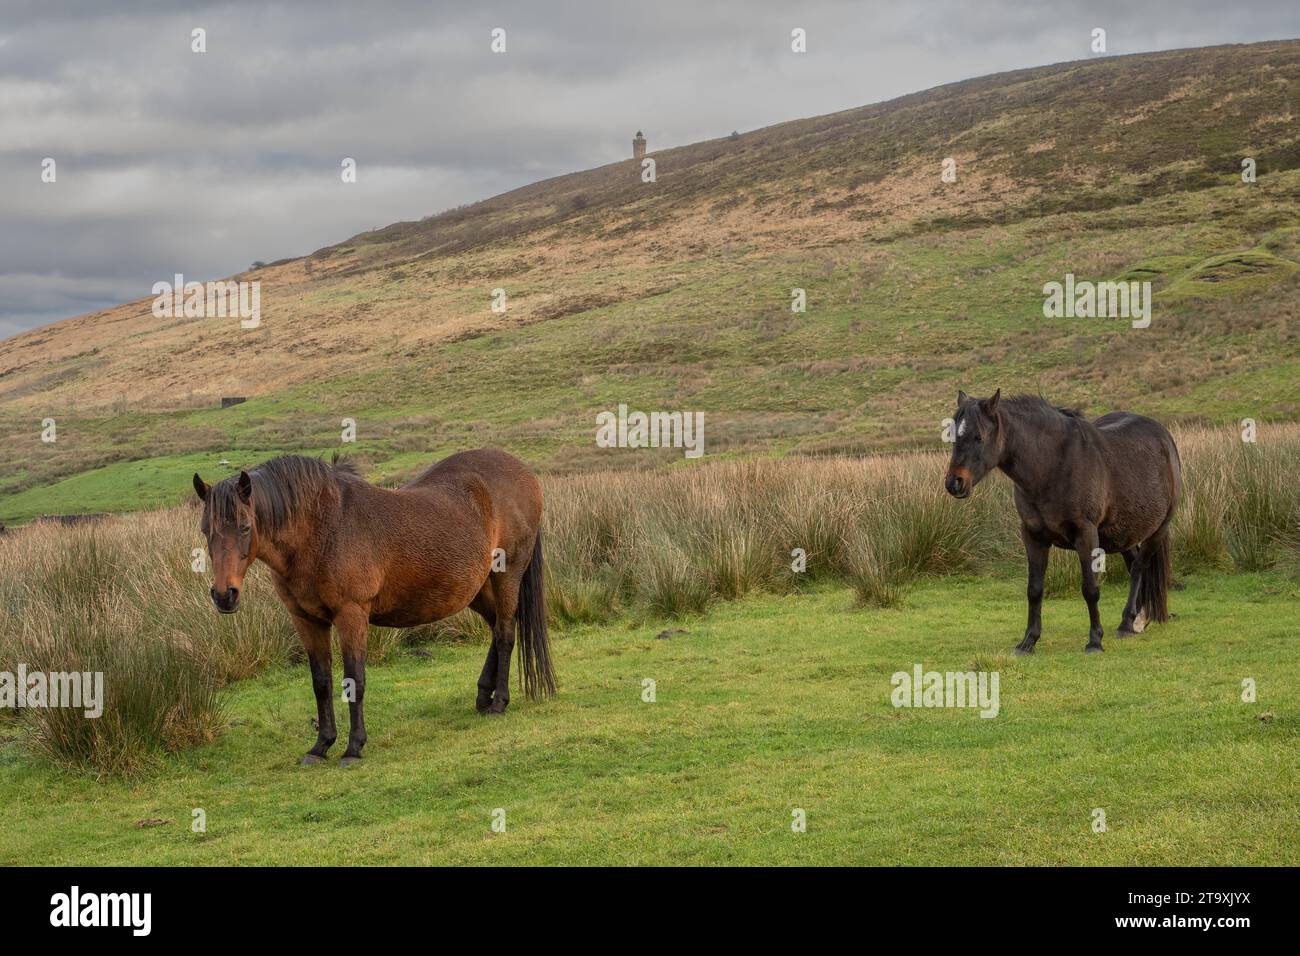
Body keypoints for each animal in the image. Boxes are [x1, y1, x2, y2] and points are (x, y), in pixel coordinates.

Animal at [192, 450, 553, 770]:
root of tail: (523, 471)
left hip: (506, 575)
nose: (224, 595)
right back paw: (483, 694)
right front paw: (321, 746)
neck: (321, 530)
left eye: (245, 527)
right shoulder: (306, 620)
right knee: (497, 627)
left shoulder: (351, 614)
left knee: (505, 633)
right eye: (206, 530)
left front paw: (353, 747)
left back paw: (498, 702)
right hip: (474, 588)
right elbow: (321, 682)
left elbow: (355, 679)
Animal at [941, 392, 1185, 655]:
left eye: (979, 436)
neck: (1052, 466)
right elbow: (1034, 589)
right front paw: (1028, 641)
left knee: (1140, 567)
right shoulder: (1033, 536)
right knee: (1134, 565)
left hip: (1158, 530)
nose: (954, 483)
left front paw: (1095, 640)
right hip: (1122, 535)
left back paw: (1127, 623)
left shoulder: (1086, 535)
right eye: (955, 437)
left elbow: (1090, 589)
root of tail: (1163, 436)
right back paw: (1134, 621)